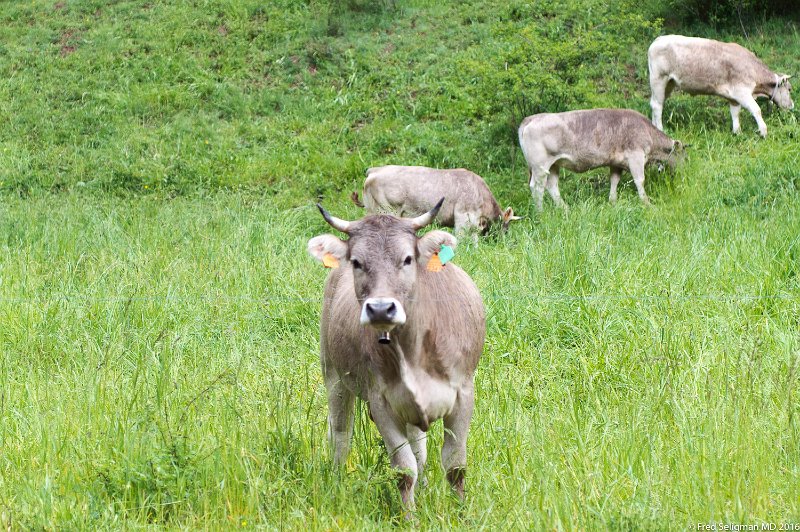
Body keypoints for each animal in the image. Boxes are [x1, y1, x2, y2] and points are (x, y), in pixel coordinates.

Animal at [306, 200, 484, 512]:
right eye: (357, 262)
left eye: (408, 259)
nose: (380, 309)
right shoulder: (381, 402)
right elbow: (403, 469)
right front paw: (409, 516)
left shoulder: (463, 394)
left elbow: (454, 466)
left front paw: (462, 513)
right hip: (333, 375)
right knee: (341, 435)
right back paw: (337, 484)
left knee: (419, 445)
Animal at [520, 108, 684, 210]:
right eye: (684, 156)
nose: (684, 172)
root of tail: (530, 118)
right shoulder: (635, 157)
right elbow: (640, 180)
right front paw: (647, 203)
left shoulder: (616, 163)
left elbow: (614, 181)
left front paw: (613, 202)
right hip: (540, 166)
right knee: (537, 187)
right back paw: (541, 212)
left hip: (554, 164)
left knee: (552, 186)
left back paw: (565, 209)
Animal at [648, 34, 792, 137]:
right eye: (790, 89)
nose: (792, 106)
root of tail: (658, 39)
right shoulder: (742, 92)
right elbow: (756, 109)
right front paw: (763, 131)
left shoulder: (734, 97)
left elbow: (735, 113)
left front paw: (737, 132)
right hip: (659, 79)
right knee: (657, 105)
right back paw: (660, 129)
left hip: (669, 83)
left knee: (655, 103)